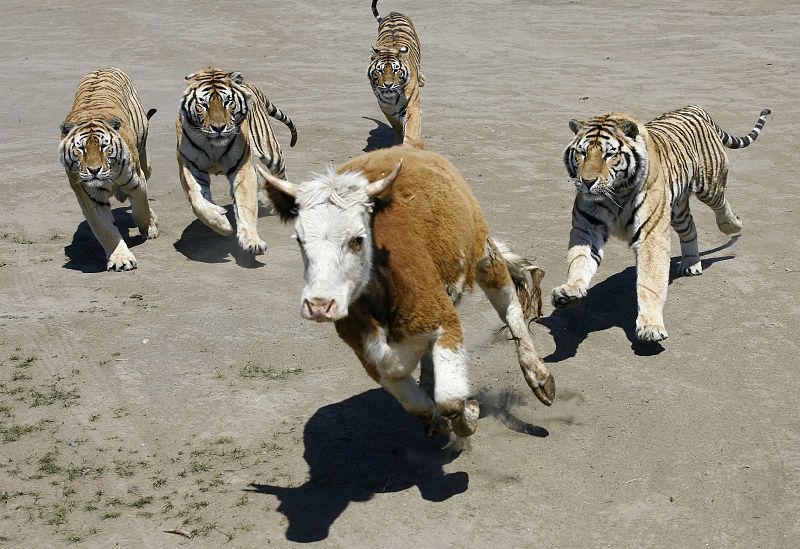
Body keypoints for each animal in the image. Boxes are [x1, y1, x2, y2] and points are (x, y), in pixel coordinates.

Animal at [59, 67, 159, 272]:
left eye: (104, 147)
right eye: (81, 149)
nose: (94, 170)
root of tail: (103, 68)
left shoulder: (136, 181)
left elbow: (141, 209)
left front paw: (149, 228)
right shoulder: (90, 197)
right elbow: (105, 229)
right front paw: (121, 259)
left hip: (146, 163)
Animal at [177, 67, 298, 254]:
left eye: (228, 102)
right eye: (203, 105)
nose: (218, 128)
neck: (213, 145)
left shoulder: (242, 167)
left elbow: (245, 205)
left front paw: (252, 241)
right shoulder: (190, 166)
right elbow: (198, 201)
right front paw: (221, 222)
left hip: (272, 153)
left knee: (281, 176)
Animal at [260, 144, 552, 436]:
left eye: (358, 239)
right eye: (300, 239)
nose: (319, 305)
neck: (385, 300)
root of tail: (410, 146)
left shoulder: (446, 323)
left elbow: (450, 401)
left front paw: (470, 411)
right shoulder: (372, 359)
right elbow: (417, 405)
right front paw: (438, 421)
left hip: (484, 252)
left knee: (509, 307)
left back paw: (539, 377)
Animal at [368, 0, 424, 146]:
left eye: (396, 70)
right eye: (380, 70)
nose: (388, 85)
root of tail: (392, 13)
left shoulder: (413, 105)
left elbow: (411, 129)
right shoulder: (386, 107)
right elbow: (397, 126)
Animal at [552, 105, 768, 340]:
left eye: (609, 155)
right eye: (582, 153)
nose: (587, 182)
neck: (617, 193)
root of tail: (696, 107)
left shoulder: (651, 234)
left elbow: (650, 281)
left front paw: (651, 326)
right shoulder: (588, 228)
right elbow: (579, 260)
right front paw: (570, 291)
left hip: (709, 185)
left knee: (721, 205)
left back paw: (734, 225)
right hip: (677, 210)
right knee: (690, 228)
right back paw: (691, 263)